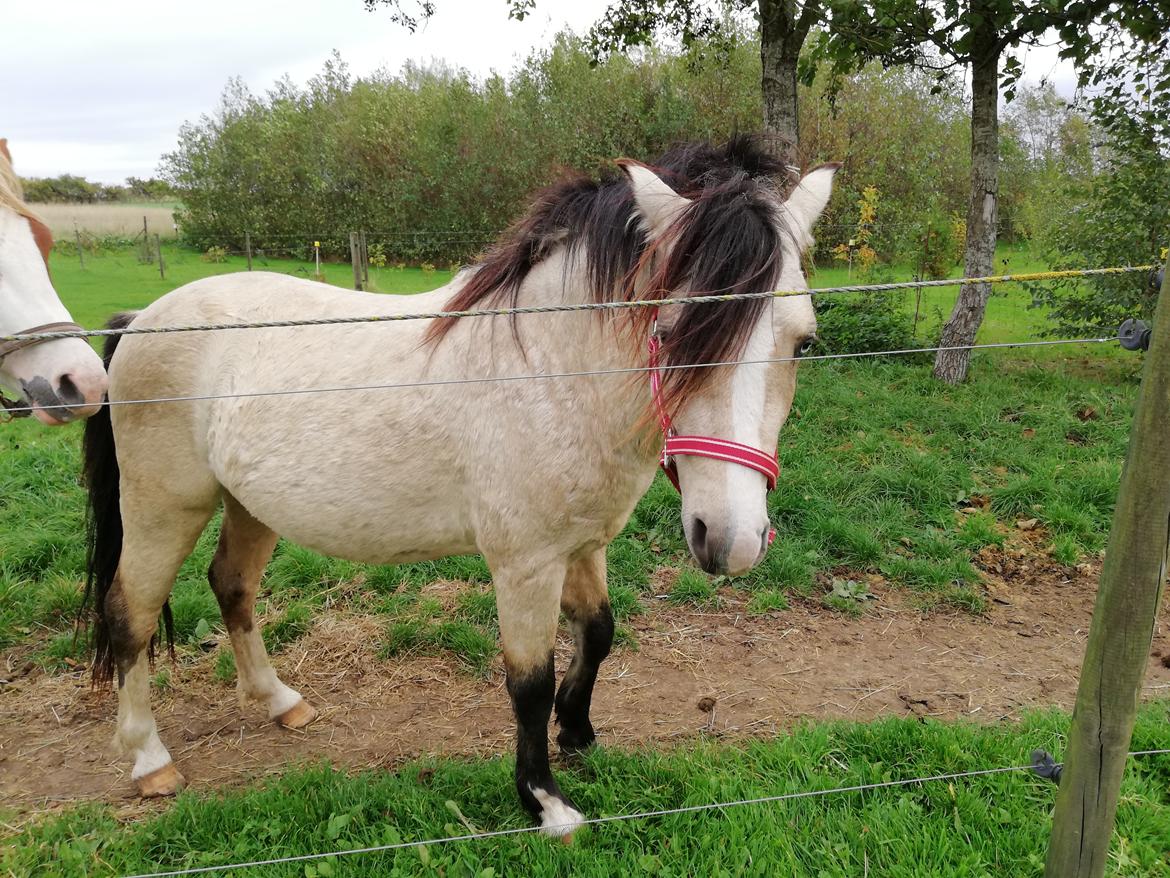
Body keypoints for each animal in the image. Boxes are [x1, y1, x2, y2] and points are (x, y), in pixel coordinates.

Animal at [82, 137, 837, 835]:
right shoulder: (525, 565)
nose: (732, 541)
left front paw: (579, 732)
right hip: (162, 506)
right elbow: (528, 682)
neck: (550, 370)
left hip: (249, 505)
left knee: (232, 587)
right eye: (672, 331)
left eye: (802, 343)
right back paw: (149, 760)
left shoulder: (582, 546)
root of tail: (139, 320)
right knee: (130, 614)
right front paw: (545, 801)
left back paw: (280, 702)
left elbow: (599, 632)